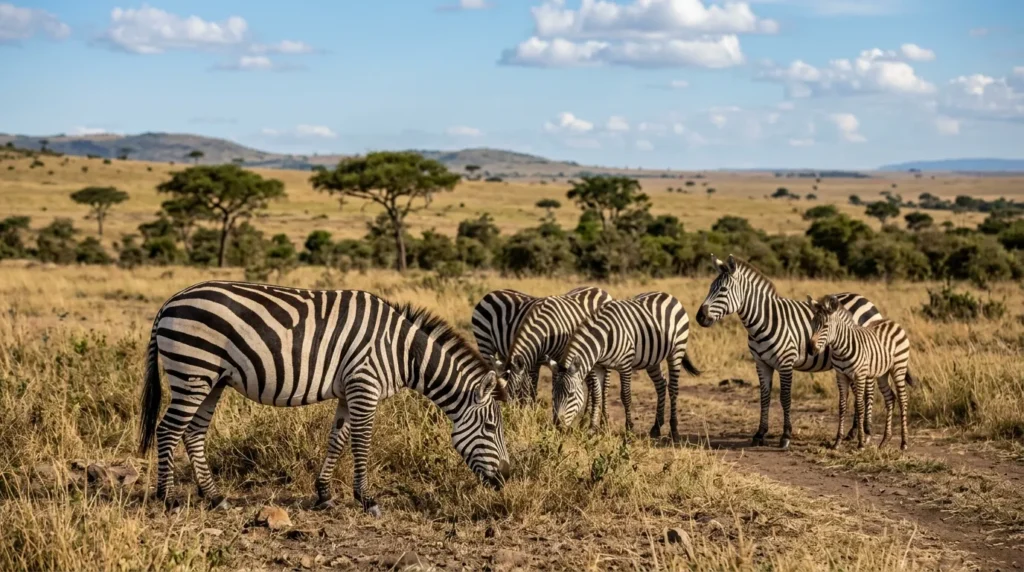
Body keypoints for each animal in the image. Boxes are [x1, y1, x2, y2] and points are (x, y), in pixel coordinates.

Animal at [138, 280, 511, 517]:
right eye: (491, 428)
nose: (506, 477)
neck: (403, 353)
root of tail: (171, 301)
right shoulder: (365, 384)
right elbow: (362, 442)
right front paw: (367, 499)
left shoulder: (349, 390)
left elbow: (337, 440)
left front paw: (324, 494)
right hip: (193, 369)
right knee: (168, 430)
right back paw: (168, 498)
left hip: (210, 379)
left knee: (193, 433)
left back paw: (215, 497)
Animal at [471, 286, 612, 401]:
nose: (509, 413)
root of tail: (490, 294)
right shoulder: (535, 361)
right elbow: (531, 390)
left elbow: (532, 390)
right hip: (485, 343)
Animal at [553, 291, 701, 441]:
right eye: (553, 394)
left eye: (571, 394)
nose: (557, 426)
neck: (602, 339)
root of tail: (668, 295)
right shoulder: (598, 366)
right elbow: (596, 395)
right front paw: (592, 429)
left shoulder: (625, 365)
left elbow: (625, 396)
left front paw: (629, 429)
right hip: (652, 359)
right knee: (660, 385)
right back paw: (656, 427)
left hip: (677, 349)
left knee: (673, 388)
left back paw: (674, 430)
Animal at [694, 254, 883, 449]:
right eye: (710, 288)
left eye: (723, 290)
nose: (699, 317)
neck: (764, 320)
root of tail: (866, 300)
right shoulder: (761, 364)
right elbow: (764, 396)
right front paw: (760, 434)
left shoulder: (786, 362)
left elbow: (785, 397)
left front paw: (785, 436)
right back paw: (853, 433)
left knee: (868, 391)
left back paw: (867, 432)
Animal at [808, 294, 914, 450]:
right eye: (813, 324)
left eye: (825, 326)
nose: (810, 349)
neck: (841, 349)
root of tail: (892, 322)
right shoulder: (840, 376)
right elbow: (842, 406)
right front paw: (837, 441)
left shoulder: (860, 375)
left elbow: (859, 405)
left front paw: (861, 442)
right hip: (882, 373)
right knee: (890, 398)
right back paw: (884, 440)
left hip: (899, 367)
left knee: (903, 399)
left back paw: (904, 443)